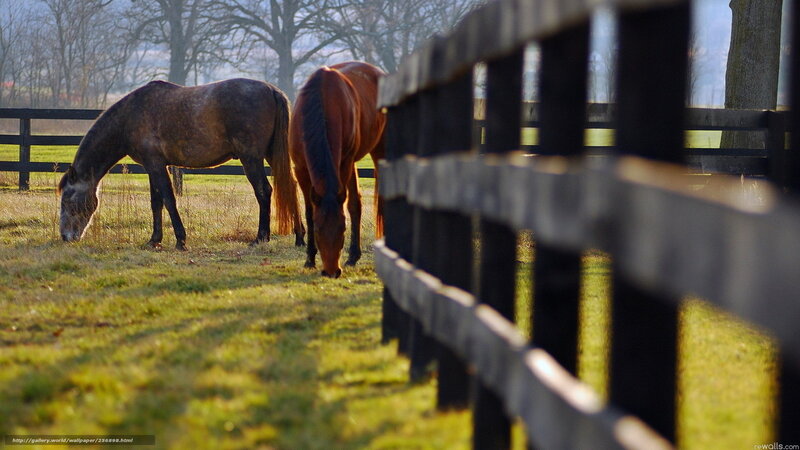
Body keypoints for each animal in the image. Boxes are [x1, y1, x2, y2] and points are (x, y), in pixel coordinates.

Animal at [58, 78, 304, 250]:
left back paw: (261, 237)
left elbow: (168, 200)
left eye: (68, 200)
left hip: (251, 158)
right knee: (290, 188)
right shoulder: (152, 166)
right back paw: (300, 236)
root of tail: (271, 90)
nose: (65, 237)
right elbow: (156, 202)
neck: (131, 115)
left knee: (264, 191)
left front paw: (180, 240)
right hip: (271, 155)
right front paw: (154, 240)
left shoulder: (156, 165)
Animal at [290, 62, 386, 278]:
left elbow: (348, 206)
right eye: (318, 230)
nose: (332, 271)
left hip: (377, 151)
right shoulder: (300, 169)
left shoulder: (344, 163)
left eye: (343, 229)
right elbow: (309, 211)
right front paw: (309, 259)